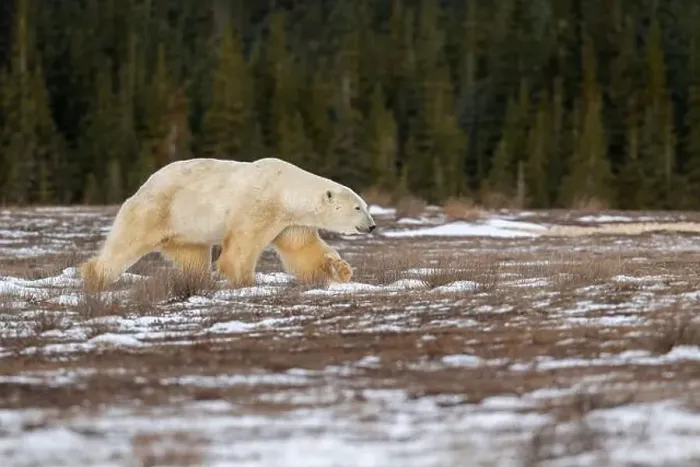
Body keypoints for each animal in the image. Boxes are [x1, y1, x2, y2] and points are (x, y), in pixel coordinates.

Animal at [79, 157, 376, 291]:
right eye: (358, 207)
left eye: (366, 205)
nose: (372, 226)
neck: (284, 191)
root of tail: (143, 186)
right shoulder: (259, 204)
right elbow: (244, 241)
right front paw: (243, 279)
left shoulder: (290, 222)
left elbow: (303, 249)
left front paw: (341, 269)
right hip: (157, 210)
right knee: (126, 243)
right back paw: (95, 276)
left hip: (187, 231)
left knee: (193, 257)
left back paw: (198, 281)